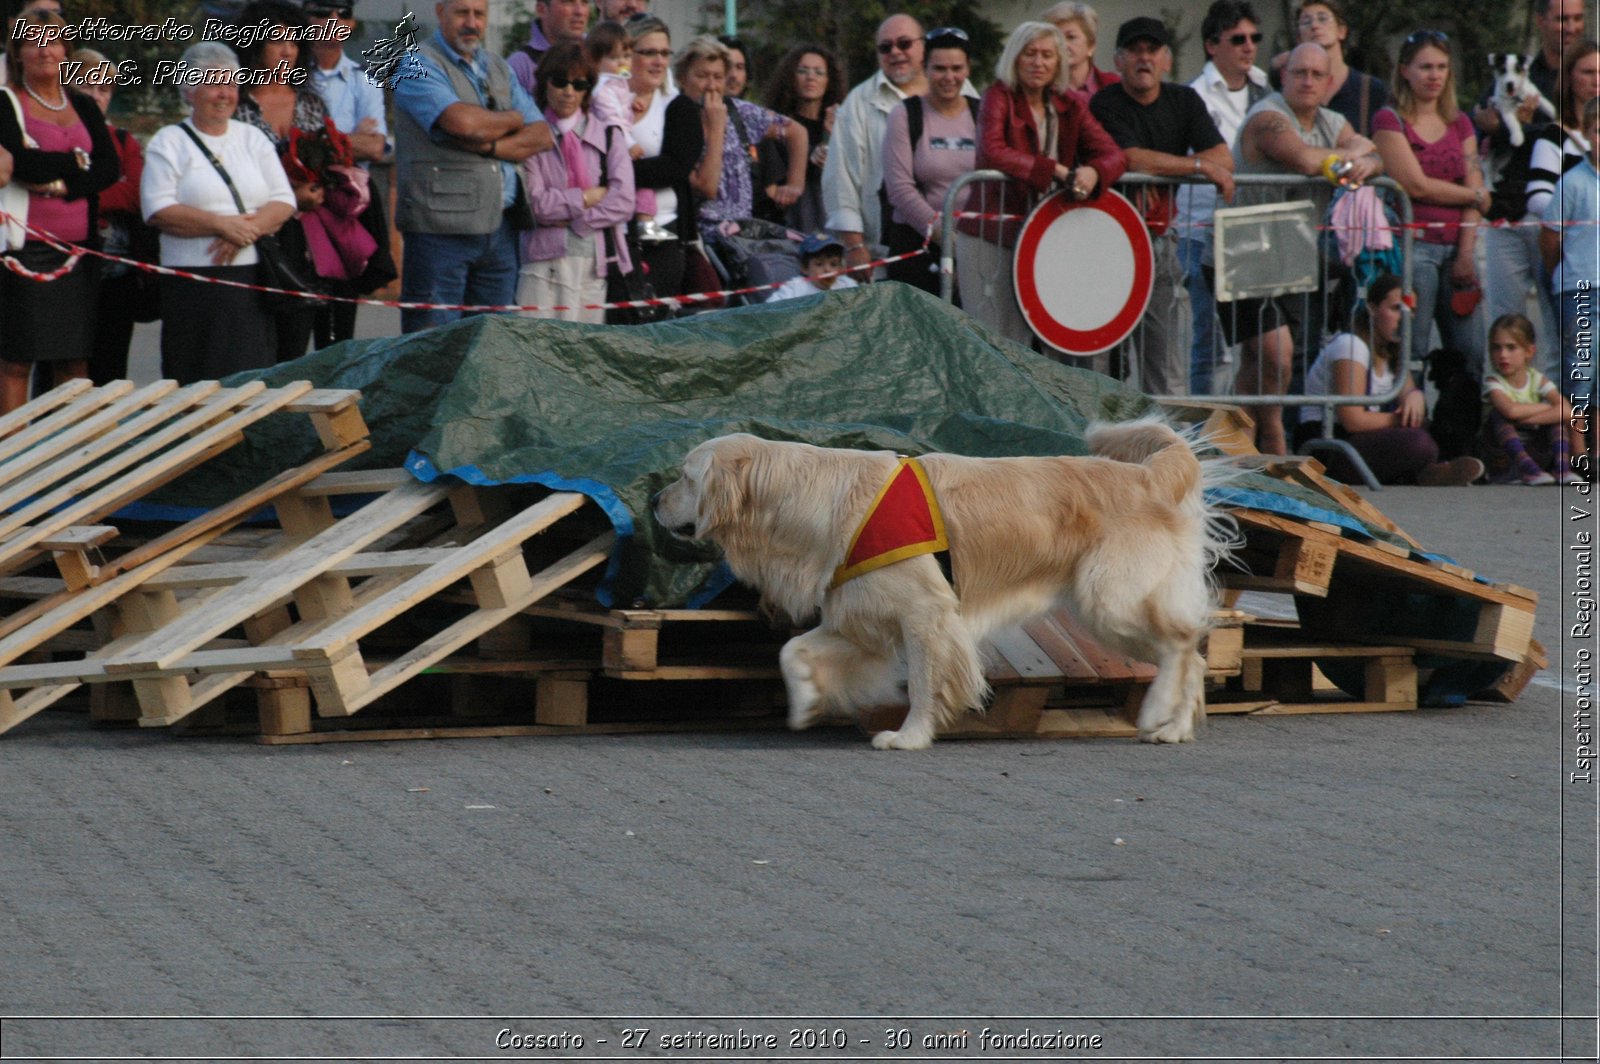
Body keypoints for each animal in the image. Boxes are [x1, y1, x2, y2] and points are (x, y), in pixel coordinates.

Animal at [652, 416, 1235, 745]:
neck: (813, 498)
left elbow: (924, 683)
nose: (653, 500)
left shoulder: (925, 615)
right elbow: (791, 650)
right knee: (1193, 654)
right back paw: (1176, 727)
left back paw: (1160, 716)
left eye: (685, 476)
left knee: (1182, 646)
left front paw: (909, 737)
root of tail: (1147, 474)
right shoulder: (861, 616)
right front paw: (806, 702)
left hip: (1110, 600)